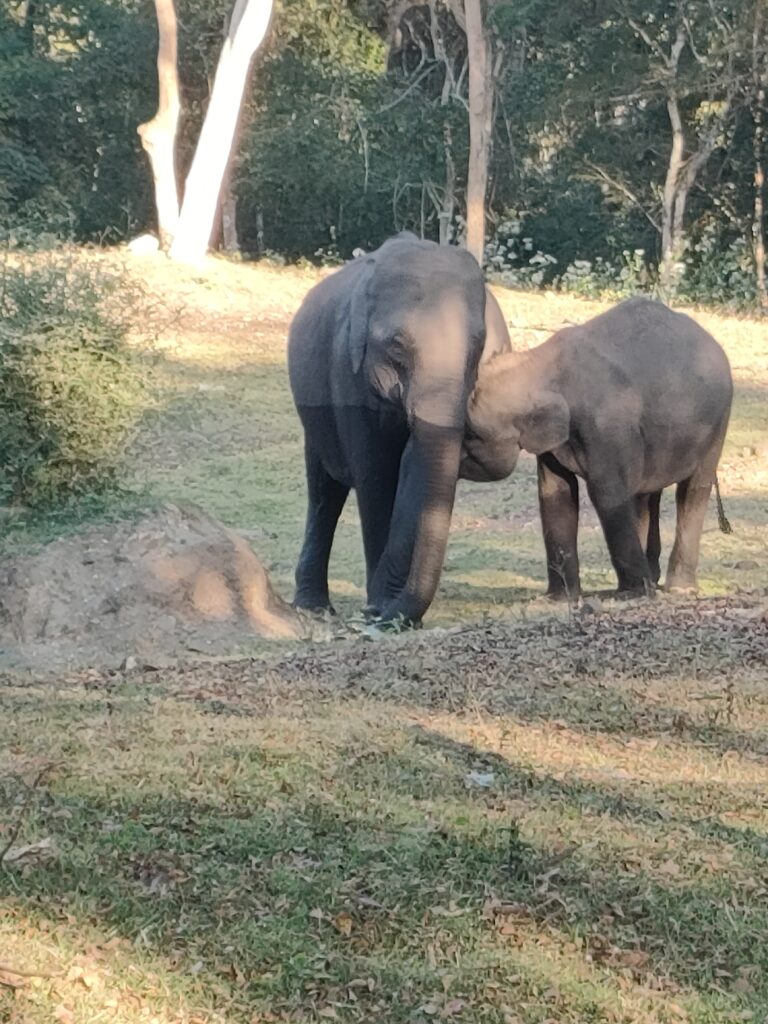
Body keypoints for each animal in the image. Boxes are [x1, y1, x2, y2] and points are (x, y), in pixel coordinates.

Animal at [288, 234, 512, 622]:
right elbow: (375, 478)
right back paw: (313, 608)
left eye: (477, 346)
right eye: (396, 345)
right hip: (315, 414)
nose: (381, 613)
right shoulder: (346, 371)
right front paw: (378, 605)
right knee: (324, 491)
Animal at [460, 296, 737, 598]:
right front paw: (561, 597)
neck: (539, 363)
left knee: (692, 489)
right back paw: (652, 579)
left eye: (469, 436)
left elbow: (607, 492)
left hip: (718, 422)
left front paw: (633, 594)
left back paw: (678, 589)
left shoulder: (606, 424)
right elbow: (556, 492)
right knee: (647, 493)